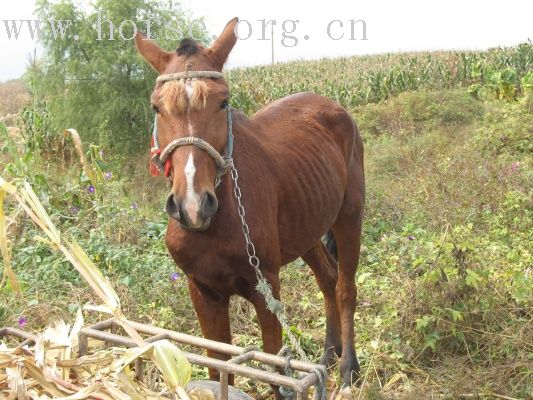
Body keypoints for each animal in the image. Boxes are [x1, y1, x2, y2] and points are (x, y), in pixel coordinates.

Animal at [135, 18, 364, 394]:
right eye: (156, 107)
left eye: (223, 102)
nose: (192, 205)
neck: (217, 225)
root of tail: (333, 106)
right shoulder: (203, 292)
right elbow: (219, 367)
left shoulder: (265, 289)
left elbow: (273, 372)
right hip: (307, 231)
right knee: (328, 279)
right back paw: (329, 354)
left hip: (349, 216)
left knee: (345, 287)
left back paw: (347, 367)